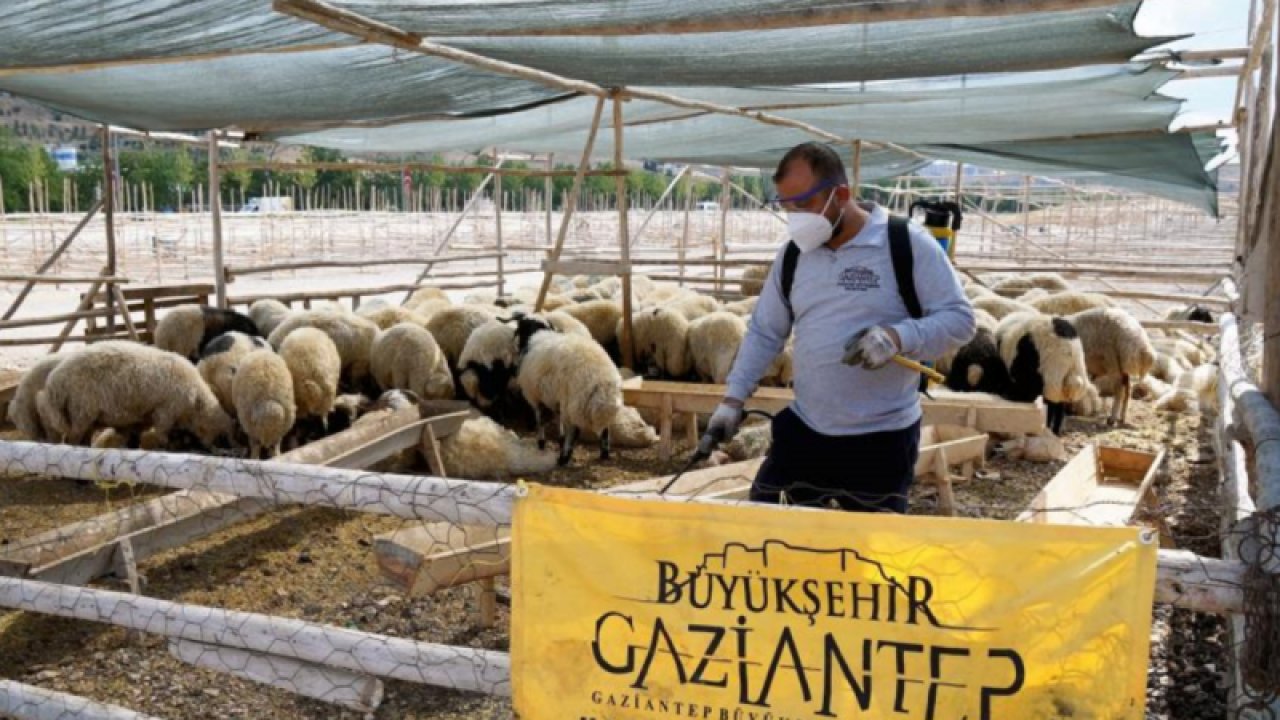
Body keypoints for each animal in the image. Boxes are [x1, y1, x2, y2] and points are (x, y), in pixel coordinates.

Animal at [36, 338, 232, 445]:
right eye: (216, 433)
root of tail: (55, 382)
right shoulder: (165, 411)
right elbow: (163, 435)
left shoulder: (141, 417)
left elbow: (134, 438)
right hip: (81, 412)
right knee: (73, 442)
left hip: (84, 416)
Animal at [517, 330, 622, 466]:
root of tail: (602, 382)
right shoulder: (555, 399)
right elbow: (557, 419)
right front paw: (559, 439)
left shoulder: (537, 397)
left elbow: (540, 421)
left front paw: (541, 443)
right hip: (580, 406)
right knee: (605, 429)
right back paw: (604, 454)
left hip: (572, 403)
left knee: (573, 431)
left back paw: (564, 457)